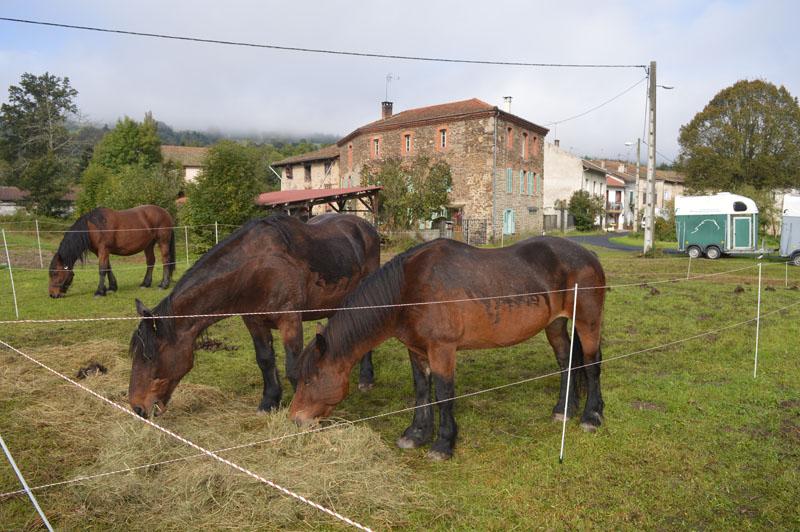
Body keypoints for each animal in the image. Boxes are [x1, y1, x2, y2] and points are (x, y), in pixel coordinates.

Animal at [49, 204, 177, 298]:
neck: (93, 228)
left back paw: (164, 284)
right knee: (150, 261)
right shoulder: (101, 252)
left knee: (166, 260)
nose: (52, 294)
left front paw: (99, 292)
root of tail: (165, 213)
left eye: (55, 273)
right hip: (149, 244)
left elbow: (102, 269)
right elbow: (108, 268)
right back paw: (145, 284)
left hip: (163, 241)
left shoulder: (103, 250)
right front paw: (112, 287)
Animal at [128, 214, 382, 418]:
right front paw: (269, 402)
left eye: (148, 356)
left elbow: (293, 366)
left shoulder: (290, 320)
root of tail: (365, 226)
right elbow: (265, 360)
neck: (256, 268)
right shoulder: (253, 321)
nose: (138, 408)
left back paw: (366, 379)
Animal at [290, 235, 608, 460]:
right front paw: (416, 434)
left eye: (310, 379)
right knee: (566, 361)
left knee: (592, 364)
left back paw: (591, 416)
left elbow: (443, 394)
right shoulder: (417, 350)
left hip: (588, 322)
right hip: (555, 325)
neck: (408, 289)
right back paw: (563, 410)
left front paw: (443, 443)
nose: (295, 419)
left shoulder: (442, 349)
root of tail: (589, 254)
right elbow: (422, 391)